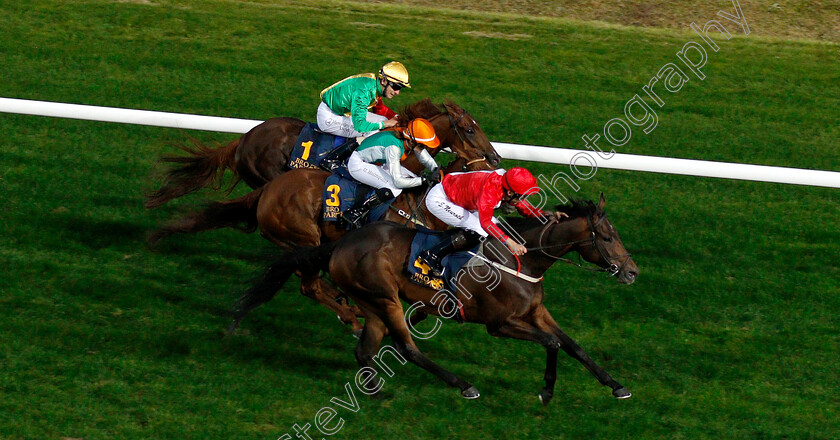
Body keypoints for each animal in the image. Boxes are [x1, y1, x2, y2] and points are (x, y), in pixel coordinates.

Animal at [240, 196, 640, 402]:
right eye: (606, 238)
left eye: (616, 233)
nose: (632, 272)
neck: (521, 259)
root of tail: (340, 244)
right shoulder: (500, 324)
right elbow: (553, 343)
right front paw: (546, 390)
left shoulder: (536, 311)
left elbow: (573, 345)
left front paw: (616, 385)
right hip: (386, 299)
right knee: (407, 348)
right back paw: (463, 385)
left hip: (372, 302)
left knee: (366, 350)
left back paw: (375, 391)